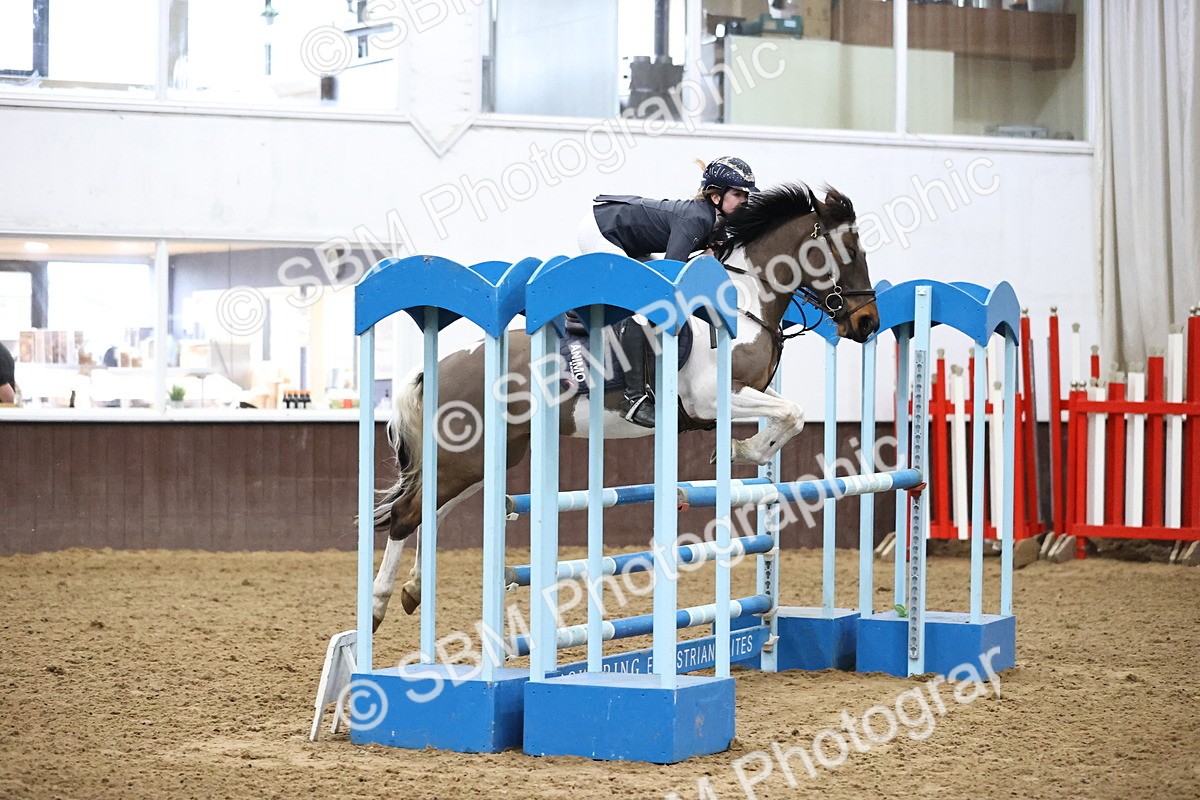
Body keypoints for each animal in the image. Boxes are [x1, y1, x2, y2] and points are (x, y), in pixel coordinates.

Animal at [370, 183, 879, 629]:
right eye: (850, 248)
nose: (867, 323)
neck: (744, 300)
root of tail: (438, 367)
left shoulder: (747, 390)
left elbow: (792, 413)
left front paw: (743, 450)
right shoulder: (708, 398)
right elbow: (791, 413)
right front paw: (740, 452)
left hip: (486, 456)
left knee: (432, 512)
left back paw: (413, 590)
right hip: (464, 456)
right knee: (407, 514)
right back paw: (377, 604)